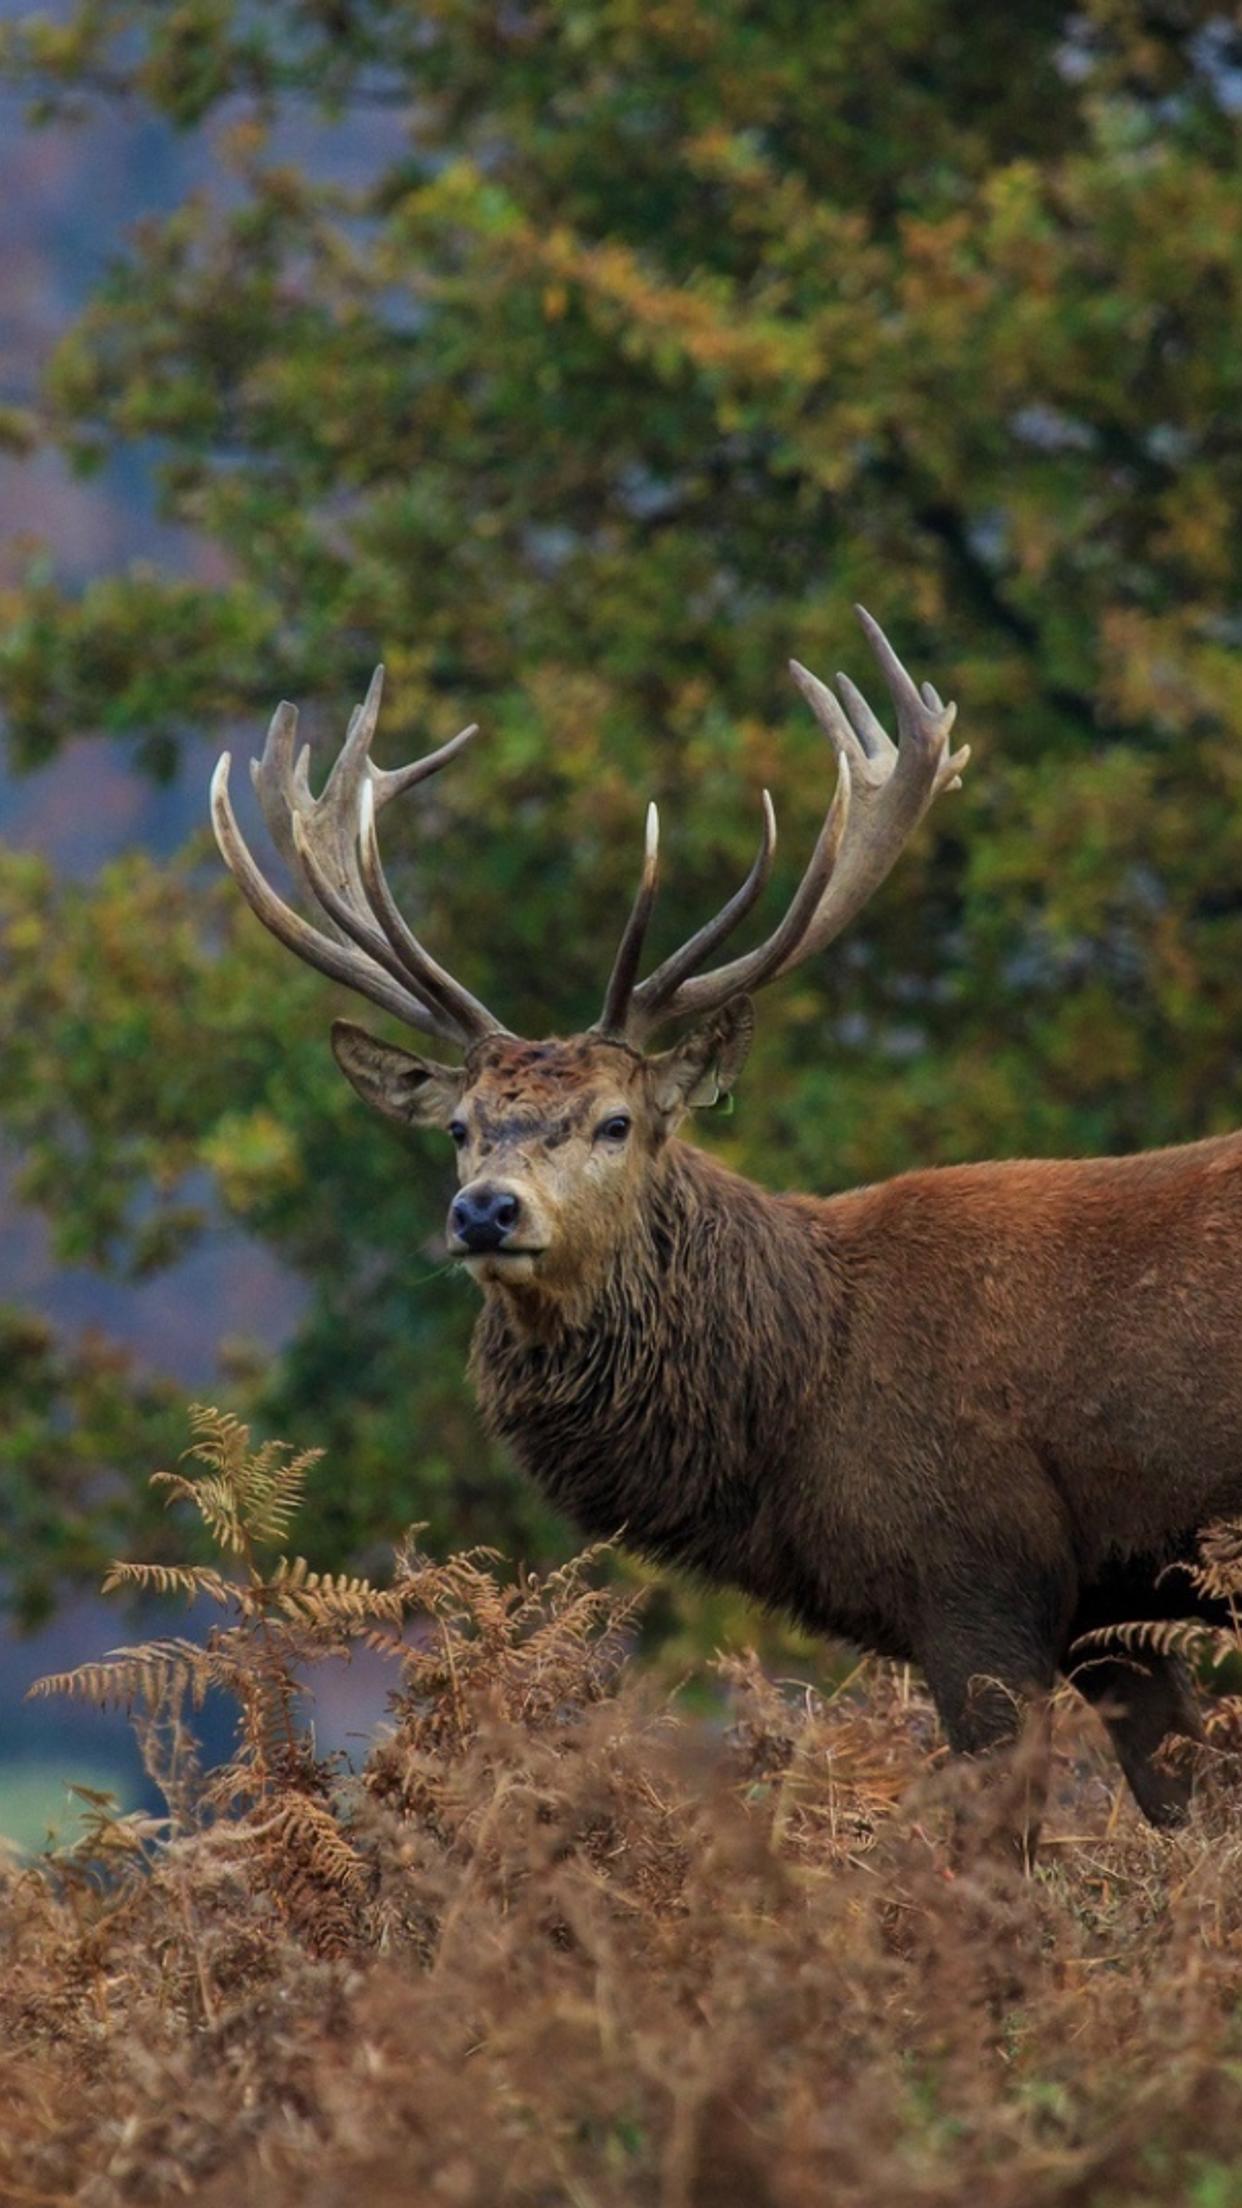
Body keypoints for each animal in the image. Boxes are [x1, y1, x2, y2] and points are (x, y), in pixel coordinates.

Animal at [211, 608, 1242, 1847]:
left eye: (615, 1122)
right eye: (459, 1127)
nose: (485, 1209)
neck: (802, 1399)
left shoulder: (981, 1574)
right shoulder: (1110, 1612)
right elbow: (1190, 1816)